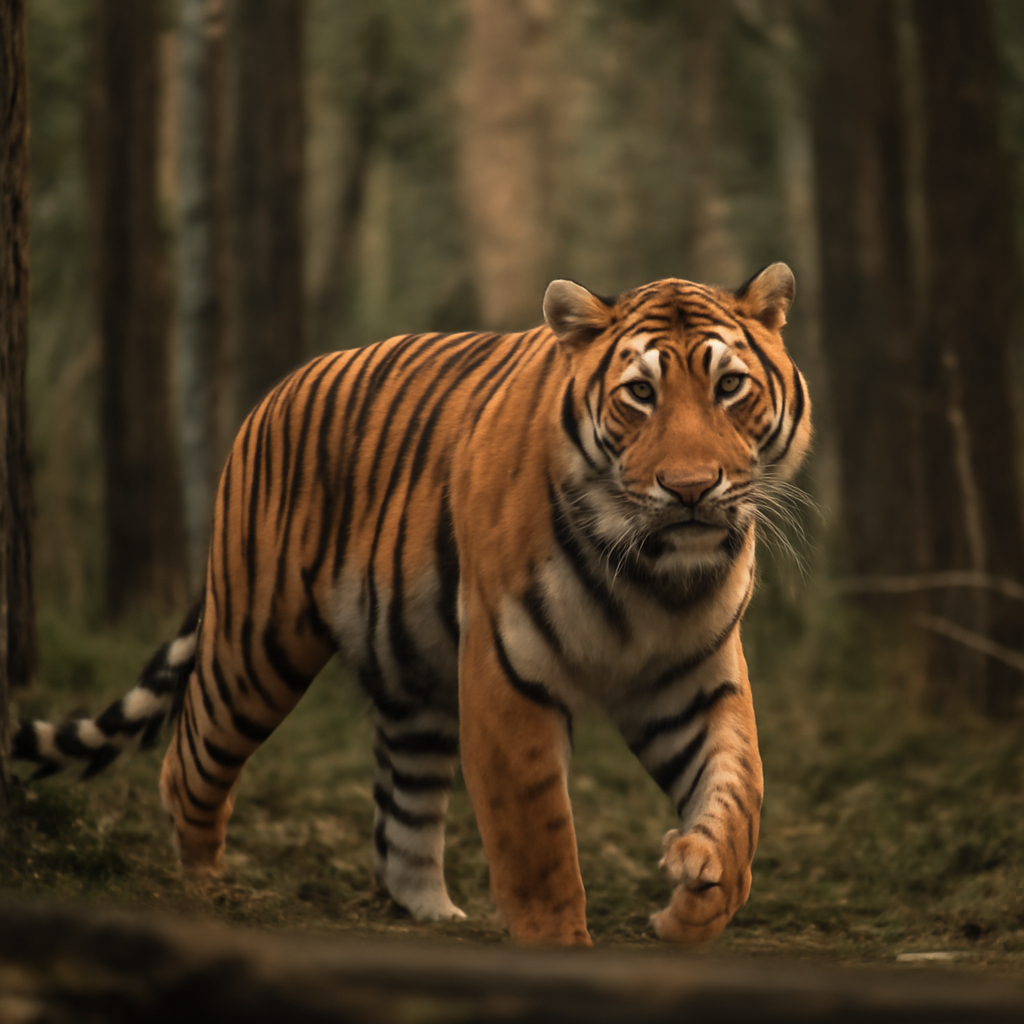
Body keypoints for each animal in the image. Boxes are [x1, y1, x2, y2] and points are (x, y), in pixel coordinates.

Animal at [14, 263, 811, 945]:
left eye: (729, 386)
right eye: (640, 394)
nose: (691, 488)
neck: (653, 574)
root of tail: (278, 389)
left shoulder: (695, 679)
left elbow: (738, 797)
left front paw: (698, 894)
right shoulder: (507, 673)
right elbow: (538, 840)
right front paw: (559, 944)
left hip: (414, 682)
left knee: (402, 813)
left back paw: (434, 914)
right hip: (256, 645)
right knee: (188, 760)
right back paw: (207, 892)